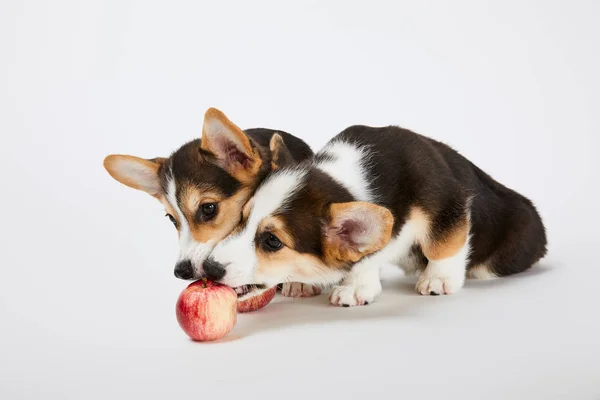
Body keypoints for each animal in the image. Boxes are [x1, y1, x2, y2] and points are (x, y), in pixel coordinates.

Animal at [203, 123, 548, 304]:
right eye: (242, 219)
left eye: (273, 242)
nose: (208, 267)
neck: (346, 177)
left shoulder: (448, 201)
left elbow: (442, 244)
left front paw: (438, 279)